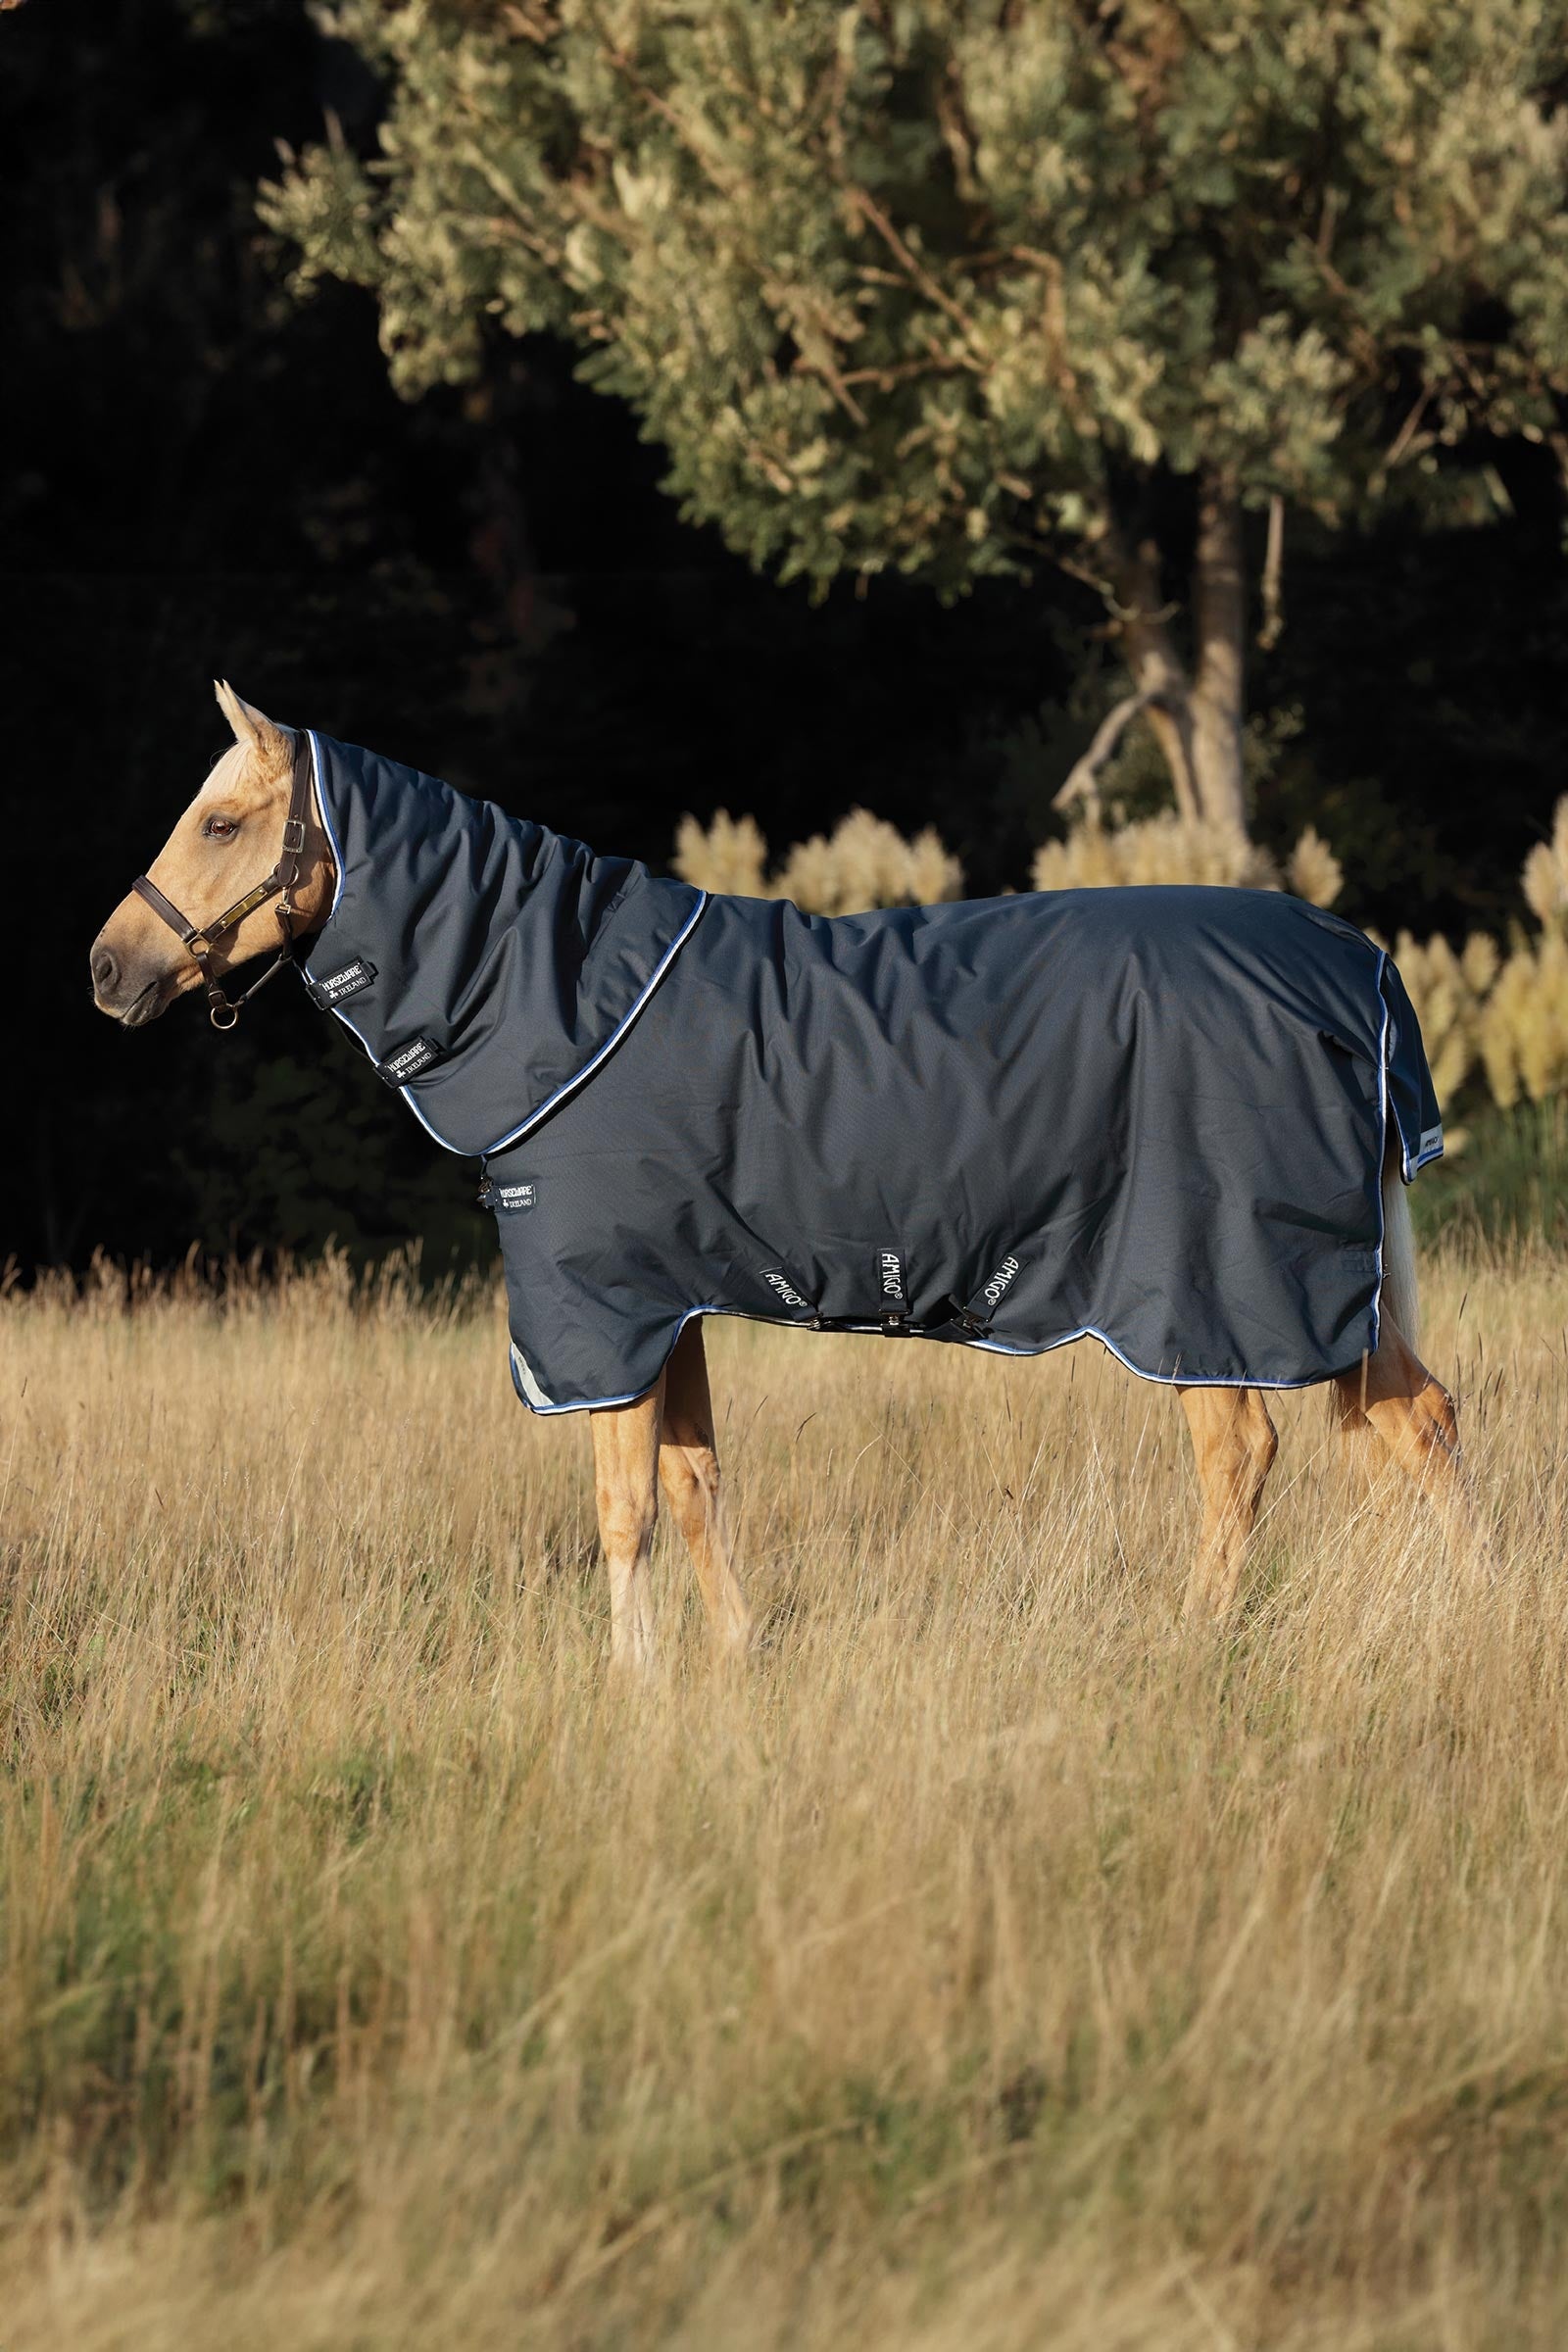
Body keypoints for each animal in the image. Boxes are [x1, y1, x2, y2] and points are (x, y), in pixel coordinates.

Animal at [89, 682, 1475, 1666]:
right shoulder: (670, 1304)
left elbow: (623, 1504)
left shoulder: (600, 1311)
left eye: (222, 821)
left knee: (1242, 1452)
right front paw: (734, 1656)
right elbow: (693, 1482)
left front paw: (629, 1684)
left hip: (1205, 1286)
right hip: (1316, 1289)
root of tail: (1356, 966)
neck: (559, 999)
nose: (105, 970)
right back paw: (1437, 1617)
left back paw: (1191, 1644)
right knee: (1418, 1426)